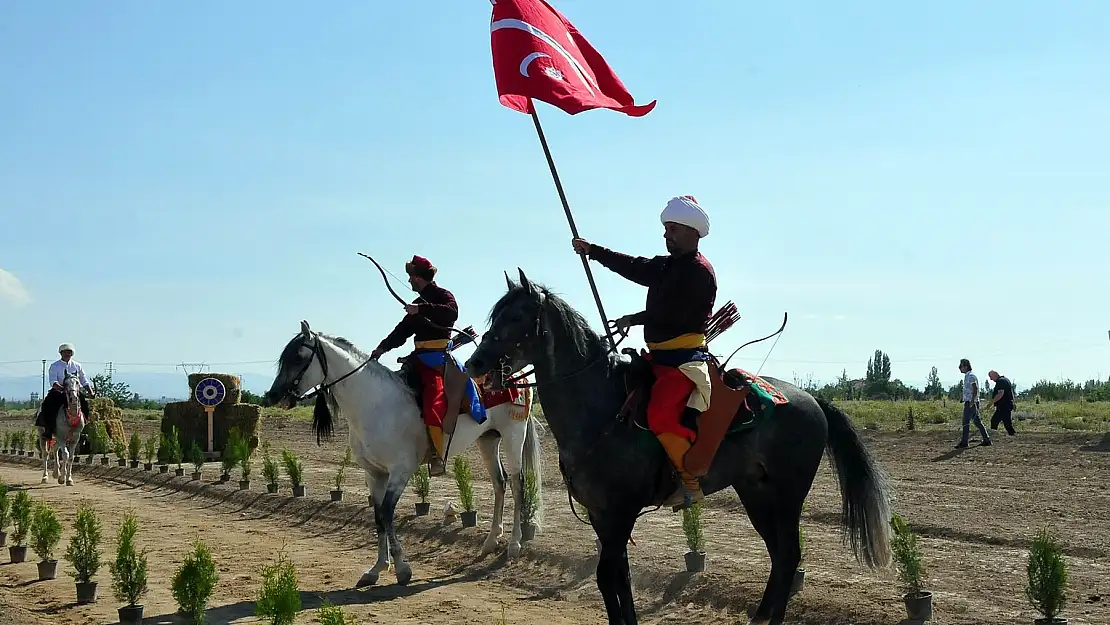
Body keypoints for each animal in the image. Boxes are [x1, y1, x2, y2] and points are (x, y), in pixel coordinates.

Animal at [266, 319, 548, 590]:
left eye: (299, 357)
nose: (274, 395)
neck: (375, 404)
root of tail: (519, 376)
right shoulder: (374, 474)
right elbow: (378, 517)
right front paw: (377, 569)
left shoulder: (400, 471)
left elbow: (387, 513)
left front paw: (402, 568)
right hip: (488, 440)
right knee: (500, 483)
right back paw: (490, 541)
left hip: (513, 435)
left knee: (517, 484)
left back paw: (514, 545)